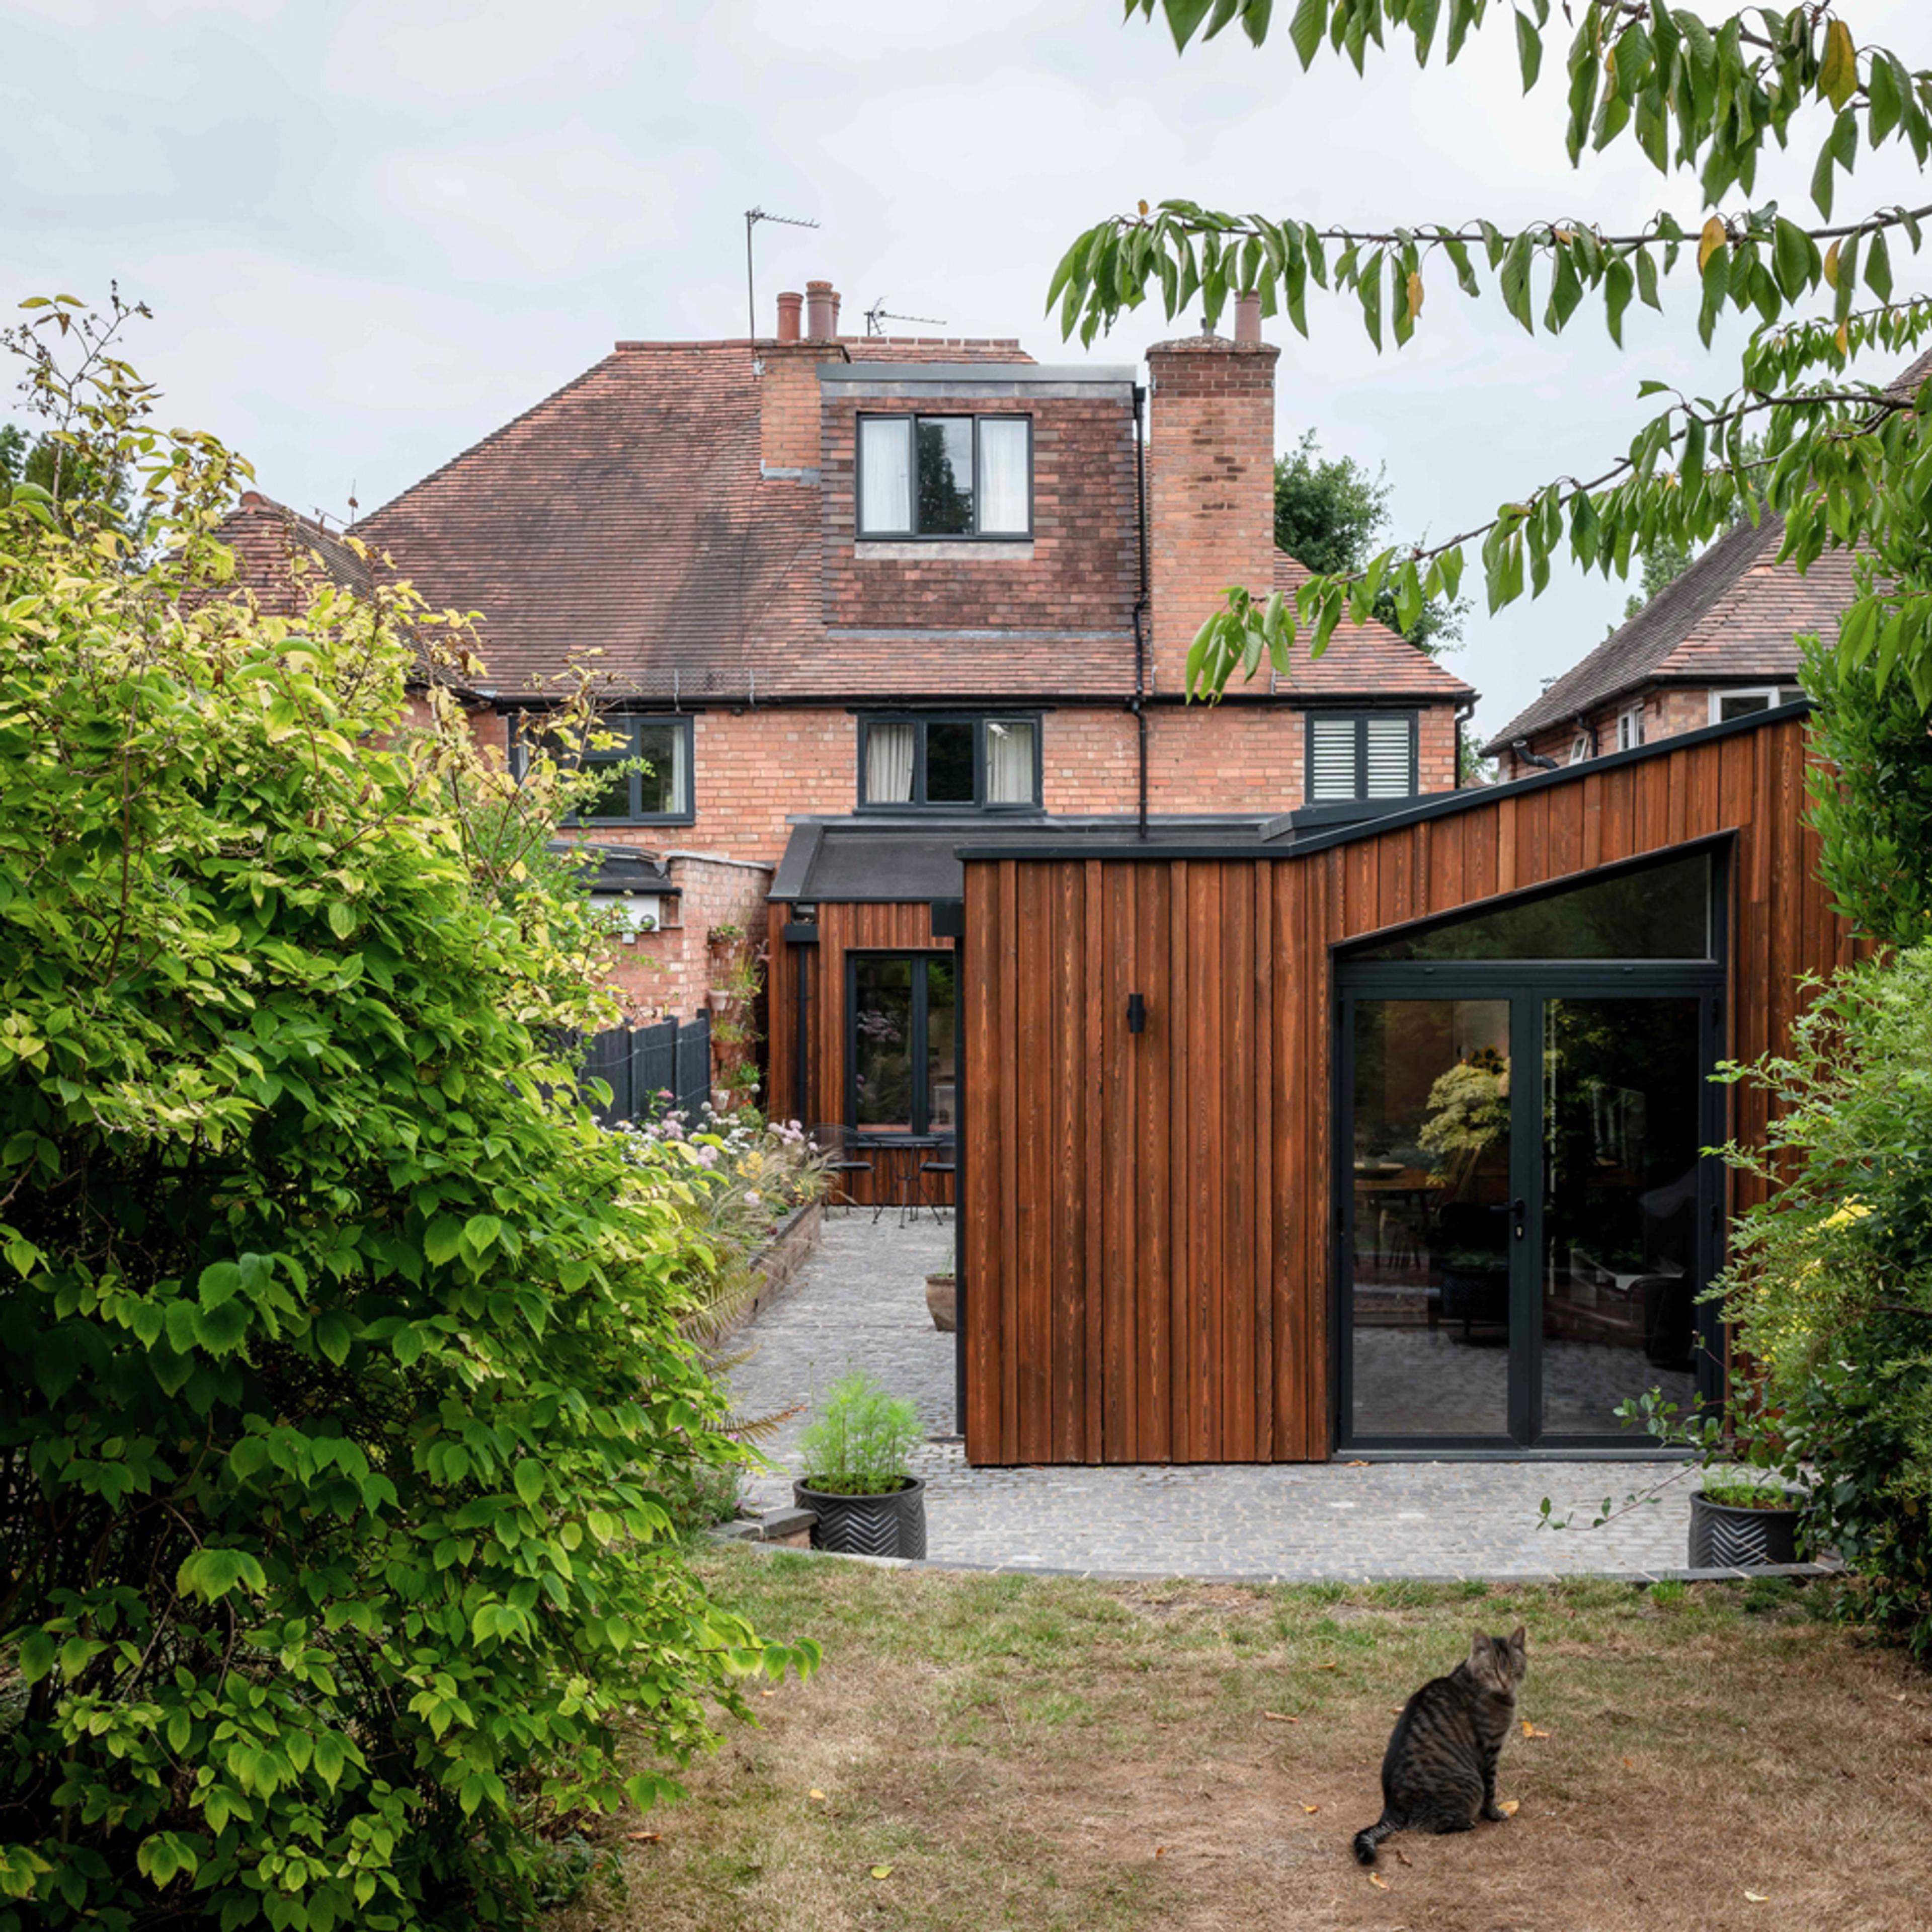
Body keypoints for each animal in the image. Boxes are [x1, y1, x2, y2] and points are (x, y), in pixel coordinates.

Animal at [1352, 1623, 1530, 1862]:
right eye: (1492, 1669)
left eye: (1513, 1668)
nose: (1504, 1682)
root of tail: (1391, 1809)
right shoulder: (1490, 1750)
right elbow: (1491, 1791)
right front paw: (1494, 1814)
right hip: (1470, 1784)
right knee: (1429, 1825)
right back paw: (1465, 1824)